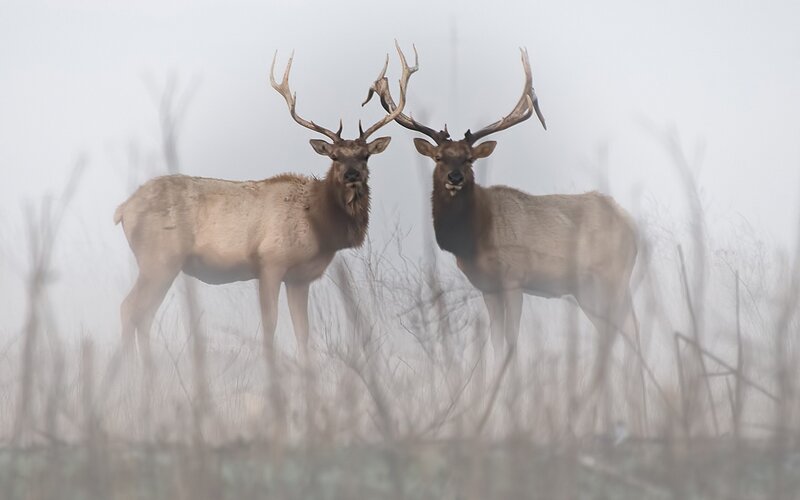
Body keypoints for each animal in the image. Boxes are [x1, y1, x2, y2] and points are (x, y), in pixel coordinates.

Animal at [115, 42, 417, 363]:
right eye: (334, 156)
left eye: (365, 155)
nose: (351, 174)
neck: (319, 226)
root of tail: (123, 209)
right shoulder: (270, 262)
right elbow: (270, 324)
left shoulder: (300, 278)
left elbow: (303, 332)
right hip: (158, 258)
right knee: (130, 308)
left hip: (161, 263)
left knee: (143, 314)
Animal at [364, 48, 639, 390]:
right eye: (439, 157)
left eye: (469, 158)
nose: (455, 177)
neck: (476, 238)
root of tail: (633, 229)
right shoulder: (487, 287)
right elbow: (496, 342)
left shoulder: (514, 278)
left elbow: (511, 340)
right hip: (587, 290)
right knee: (615, 332)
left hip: (614, 276)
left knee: (630, 331)